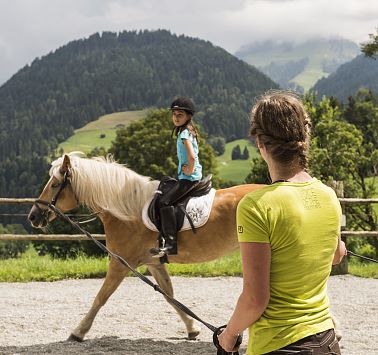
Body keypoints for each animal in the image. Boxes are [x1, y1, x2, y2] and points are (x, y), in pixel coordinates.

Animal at [28, 152, 264, 342]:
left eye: (55, 184)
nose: (33, 216)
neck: (126, 210)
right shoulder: (154, 263)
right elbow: (169, 296)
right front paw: (192, 328)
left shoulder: (119, 264)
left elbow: (100, 298)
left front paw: (78, 332)